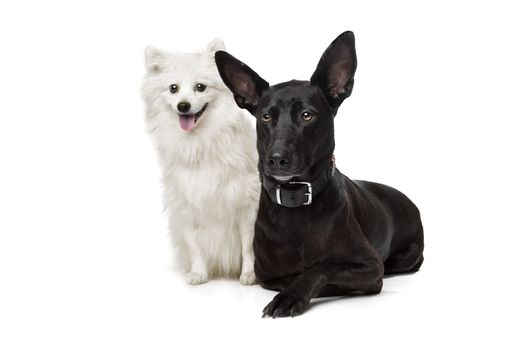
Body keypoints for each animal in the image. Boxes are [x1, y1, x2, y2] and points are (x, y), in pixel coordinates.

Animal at [141, 39, 260, 284]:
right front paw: (198, 273)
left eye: (200, 87)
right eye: (173, 88)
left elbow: (248, 245)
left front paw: (249, 274)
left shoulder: (247, 205)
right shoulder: (185, 206)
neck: (199, 142)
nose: (183, 106)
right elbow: (195, 246)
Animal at [213, 31, 422, 318]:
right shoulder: (265, 275)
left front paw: (294, 295)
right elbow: (292, 276)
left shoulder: (370, 265)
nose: (276, 159)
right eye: (266, 117)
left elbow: (320, 267)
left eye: (307, 115)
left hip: (405, 258)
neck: (296, 202)